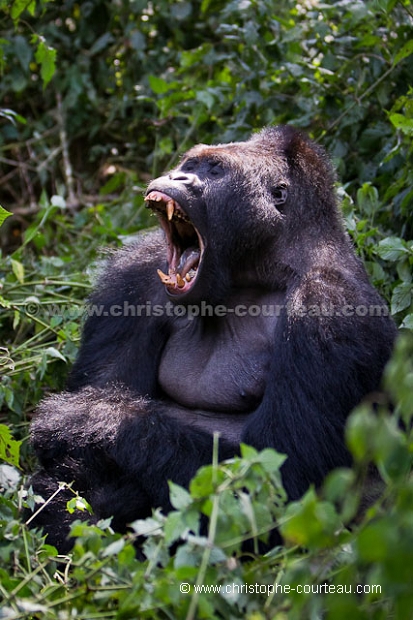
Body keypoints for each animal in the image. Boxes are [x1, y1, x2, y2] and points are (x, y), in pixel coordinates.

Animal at [27, 126, 394, 552]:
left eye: (214, 170)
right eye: (189, 164)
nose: (179, 177)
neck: (262, 267)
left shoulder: (329, 307)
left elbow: (280, 482)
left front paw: (87, 421)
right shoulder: (136, 272)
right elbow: (102, 397)